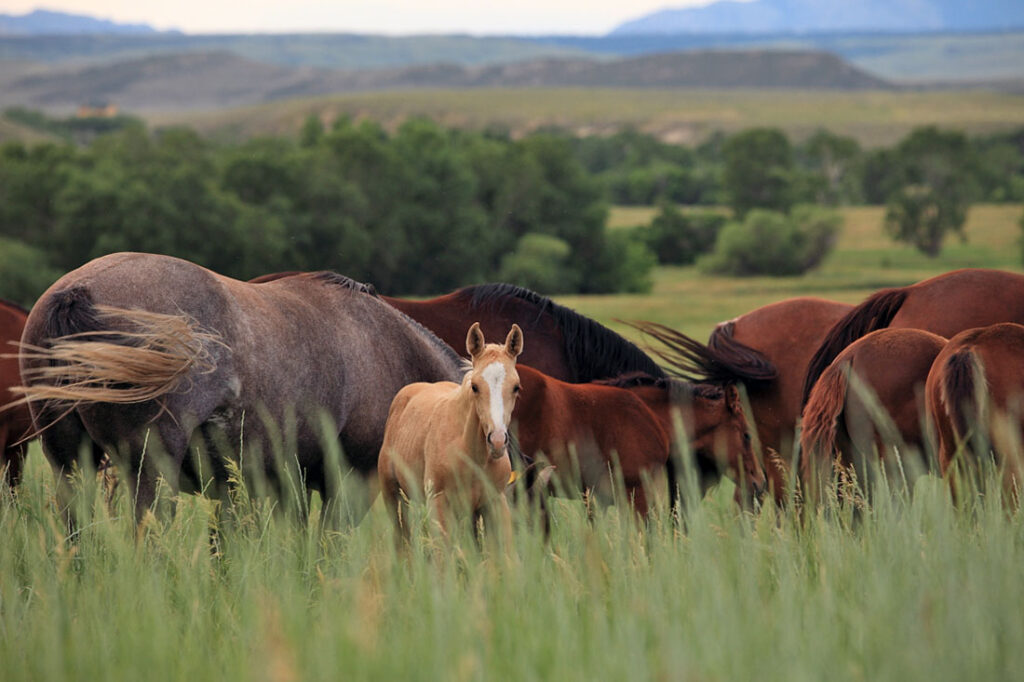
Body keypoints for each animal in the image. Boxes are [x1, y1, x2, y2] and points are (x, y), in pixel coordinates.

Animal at [17, 251, 464, 522]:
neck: (385, 345)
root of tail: (79, 291)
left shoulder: (281, 485)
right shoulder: (348, 484)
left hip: (68, 463)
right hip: (149, 467)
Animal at [378, 319, 524, 536]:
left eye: (516, 387)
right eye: (475, 387)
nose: (497, 441)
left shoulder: (495, 503)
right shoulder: (438, 505)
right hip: (393, 497)